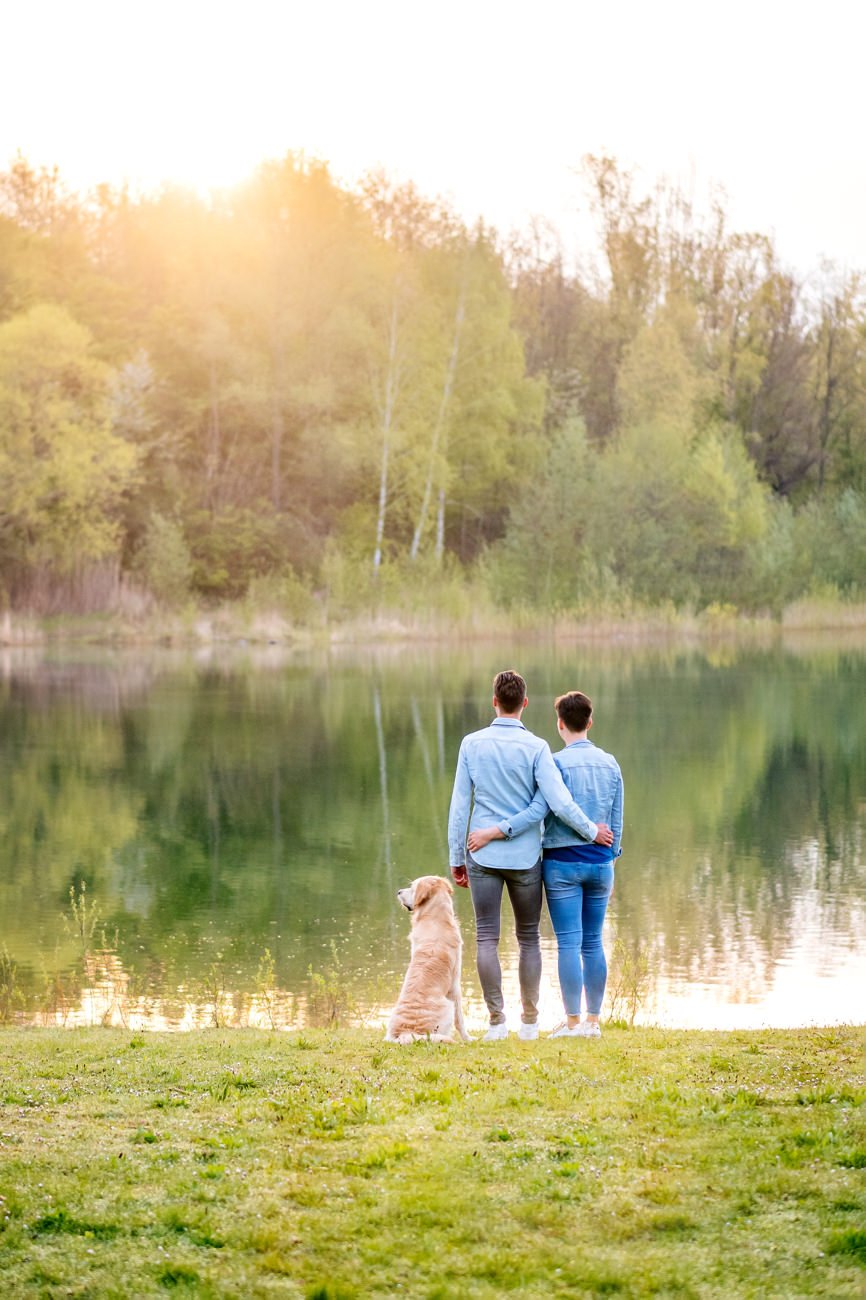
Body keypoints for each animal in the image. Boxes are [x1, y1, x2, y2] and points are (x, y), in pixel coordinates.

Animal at [382, 873, 465, 1045]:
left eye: (412, 888)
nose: (398, 892)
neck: (435, 917)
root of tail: (404, 1033)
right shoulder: (455, 984)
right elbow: (460, 1020)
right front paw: (469, 1039)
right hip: (448, 1007)